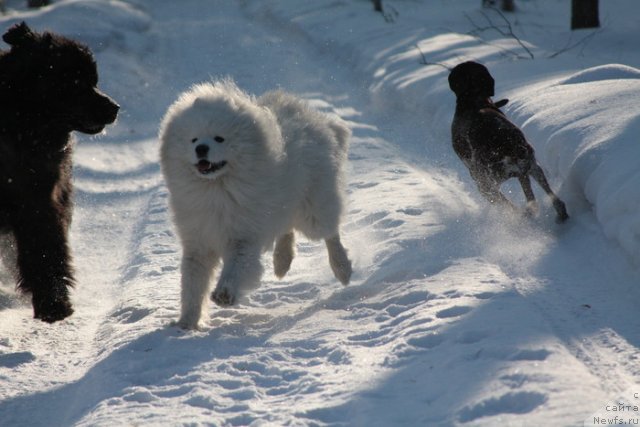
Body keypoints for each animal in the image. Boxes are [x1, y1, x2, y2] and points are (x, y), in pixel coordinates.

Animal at [0, 23, 119, 322]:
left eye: (94, 80)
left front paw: (53, 303)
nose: (115, 108)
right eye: (76, 82)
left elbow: (46, 251)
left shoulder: (38, 199)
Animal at [158, 80, 352, 330]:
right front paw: (186, 323)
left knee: (329, 233)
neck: (216, 190)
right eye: (193, 139)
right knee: (286, 229)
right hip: (283, 204)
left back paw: (342, 268)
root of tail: (319, 121)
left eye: (219, 138)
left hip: (312, 209)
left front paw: (224, 294)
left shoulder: (243, 237)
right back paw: (282, 262)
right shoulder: (198, 243)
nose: (201, 148)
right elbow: (192, 287)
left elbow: (236, 268)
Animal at [448, 62, 568, 224]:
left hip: (488, 183)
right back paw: (560, 213)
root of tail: (512, 147)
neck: (473, 99)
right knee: (551, 198)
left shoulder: (481, 180)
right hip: (533, 167)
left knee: (509, 204)